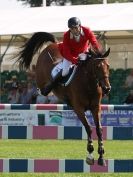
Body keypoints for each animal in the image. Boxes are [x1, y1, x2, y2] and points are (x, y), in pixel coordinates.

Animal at [15, 31, 111, 166]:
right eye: (97, 66)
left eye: (108, 66)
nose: (107, 88)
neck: (88, 83)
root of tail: (54, 44)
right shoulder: (79, 109)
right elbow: (88, 128)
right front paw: (90, 154)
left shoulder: (96, 108)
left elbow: (99, 130)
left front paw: (101, 156)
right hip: (41, 77)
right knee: (43, 86)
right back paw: (41, 89)